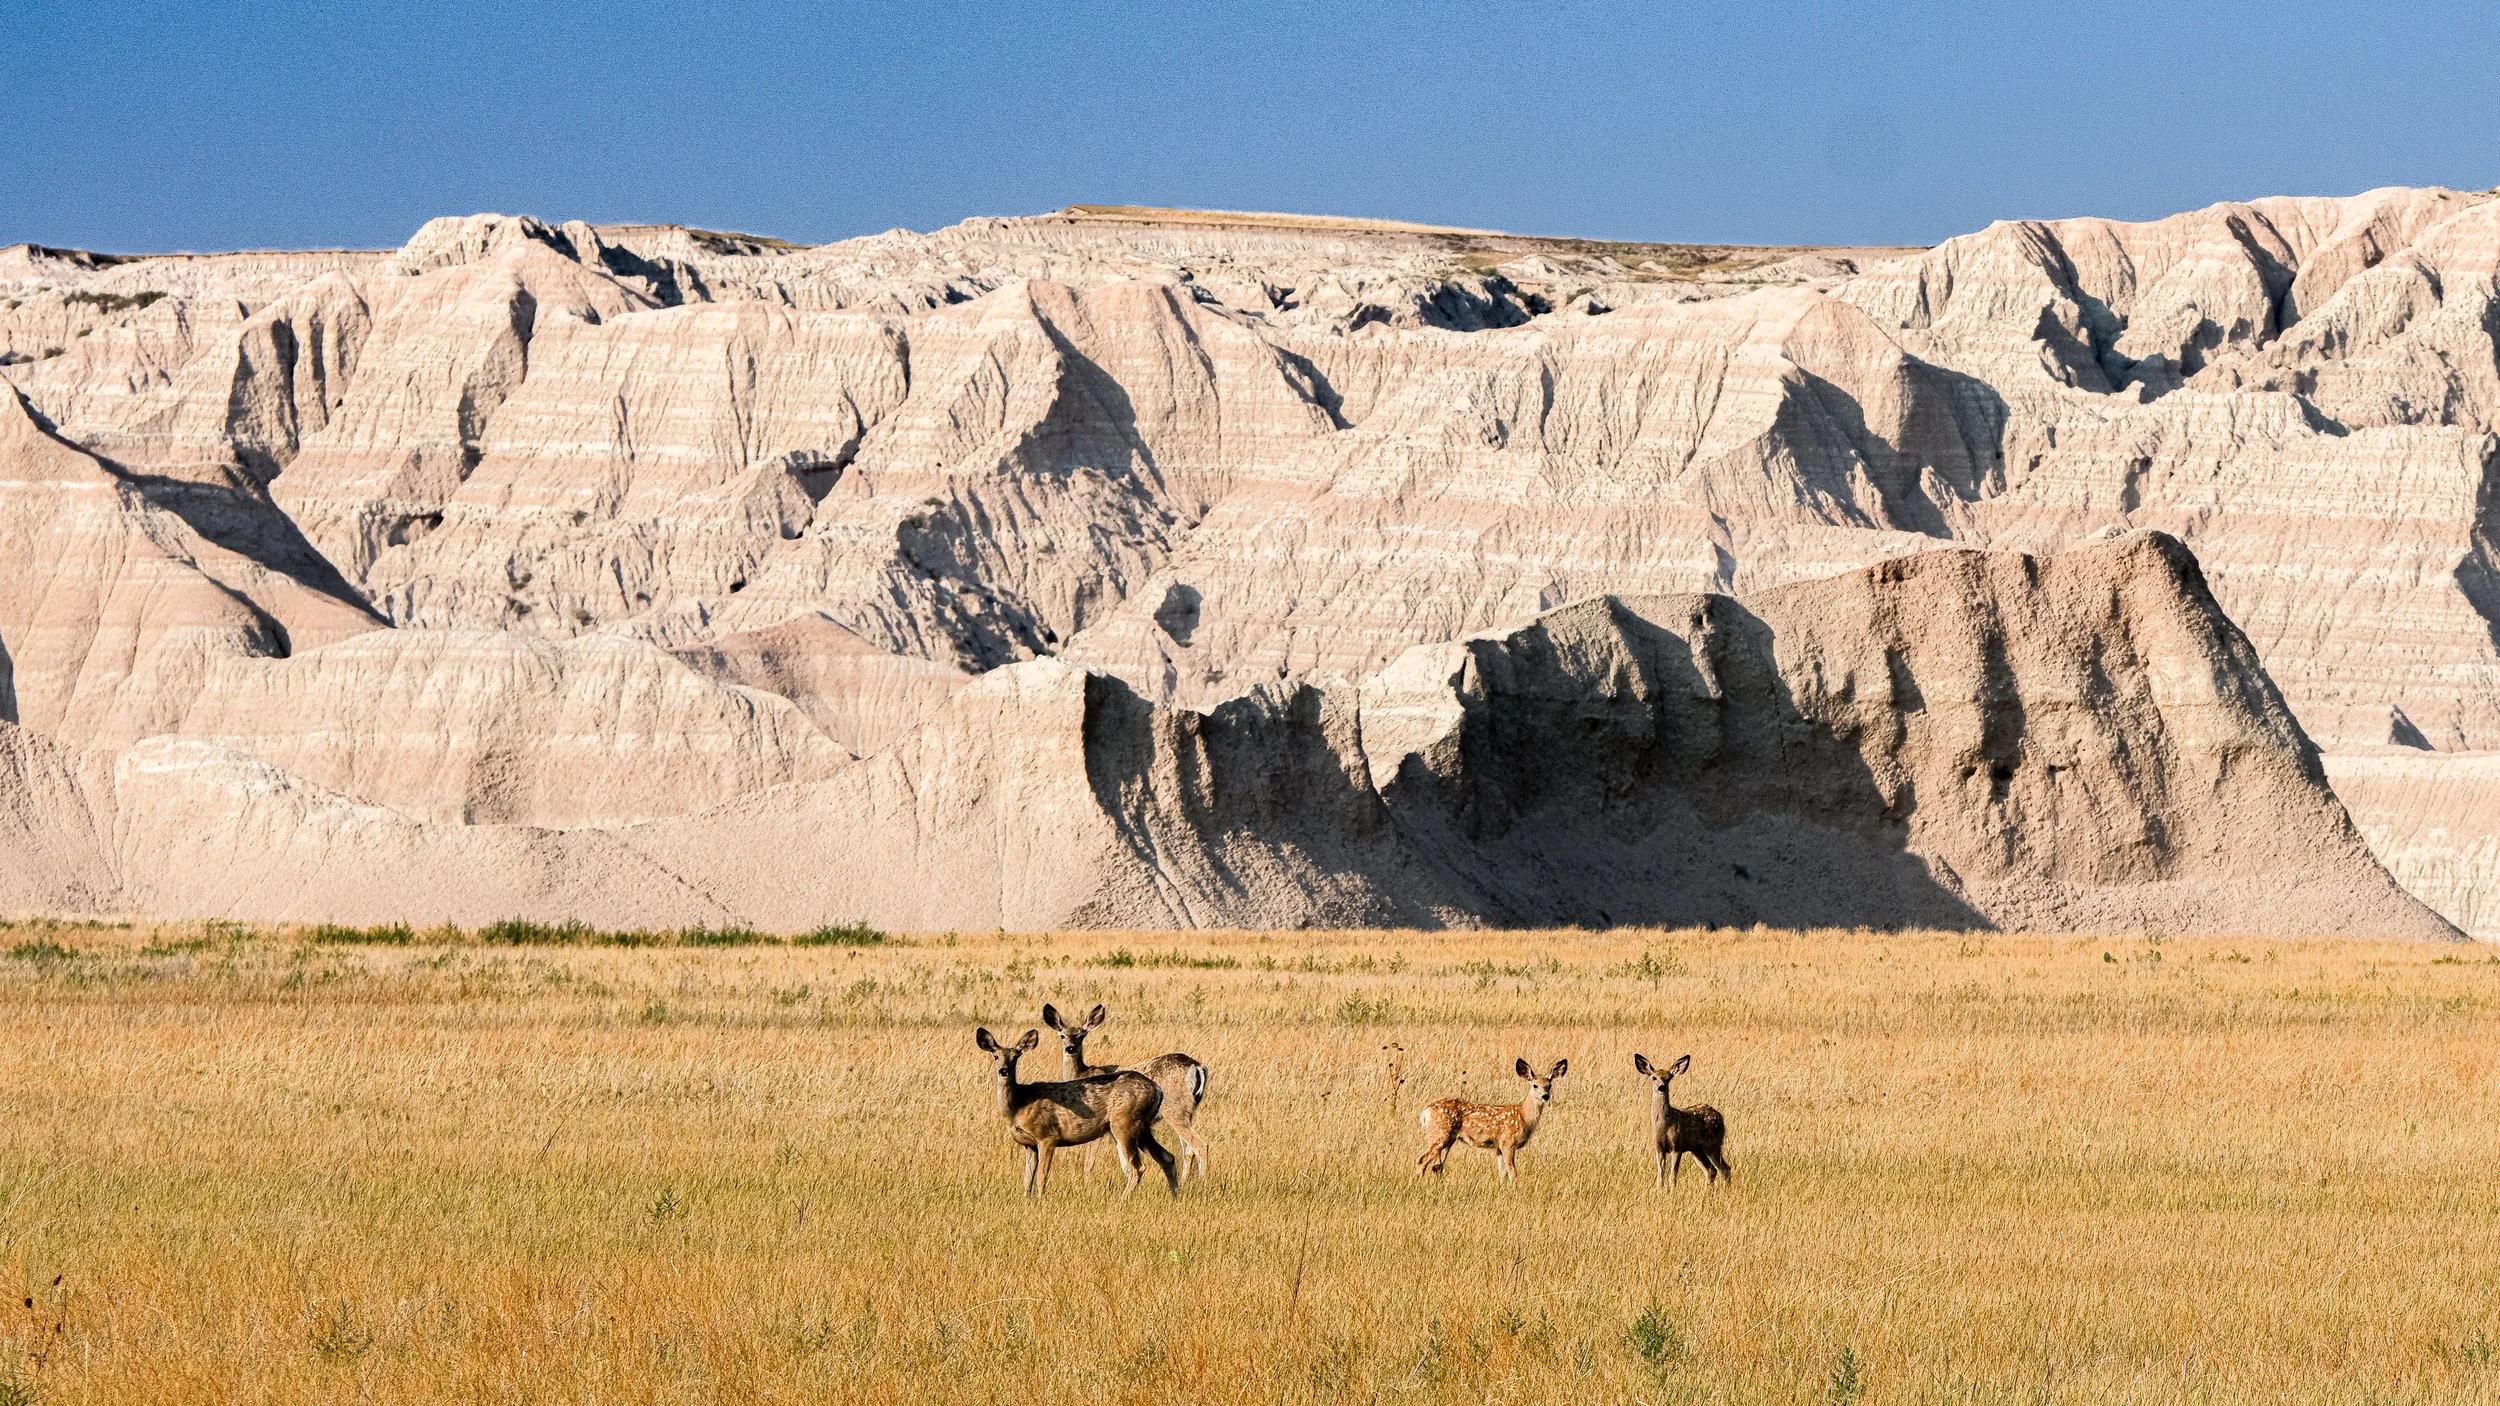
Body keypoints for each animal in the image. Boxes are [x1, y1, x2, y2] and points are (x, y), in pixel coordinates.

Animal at [973, 1027, 1178, 1198]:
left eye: (1015, 1057)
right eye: (995, 1056)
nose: (1004, 1071)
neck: (1019, 1104)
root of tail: (1157, 1089)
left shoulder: (1047, 1135)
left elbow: (1041, 1175)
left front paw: (1040, 1200)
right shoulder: (1028, 1144)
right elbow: (1027, 1179)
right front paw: (1027, 1200)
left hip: (1124, 1122)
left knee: (1137, 1167)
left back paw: (1121, 1200)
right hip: (1142, 1126)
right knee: (1167, 1157)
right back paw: (1175, 1197)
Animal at [1042, 1003, 1212, 1181]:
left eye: (1082, 1035)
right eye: (1062, 1035)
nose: (1070, 1048)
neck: (1083, 1073)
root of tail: (1197, 1066)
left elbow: (1090, 1161)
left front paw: (1086, 1181)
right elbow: (1125, 1164)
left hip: (1174, 1109)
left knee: (1200, 1145)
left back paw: (1202, 1182)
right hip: (1187, 1110)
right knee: (1188, 1149)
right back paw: (1185, 1182)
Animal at [1415, 1058, 1567, 1181]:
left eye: (1549, 1085)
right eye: (1535, 1085)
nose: (1545, 1096)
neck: (1523, 1117)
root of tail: (1426, 1112)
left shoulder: (1498, 1146)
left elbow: (1502, 1173)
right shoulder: (1508, 1142)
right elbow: (1513, 1172)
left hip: (1448, 1138)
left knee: (1437, 1165)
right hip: (1440, 1134)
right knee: (1422, 1159)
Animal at [1635, 1052, 1730, 1187]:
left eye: (1669, 1078)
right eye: (1654, 1077)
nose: (1661, 1087)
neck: (1663, 1126)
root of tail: (1719, 1116)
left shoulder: (1677, 1146)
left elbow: (1672, 1177)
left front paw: (1672, 1189)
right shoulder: (1658, 1148)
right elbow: (1660, 1177)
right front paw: (1659, 1189)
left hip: (1713, 1143)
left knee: (1725, 1169)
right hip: (1697, 1149)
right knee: (1711, 1170)